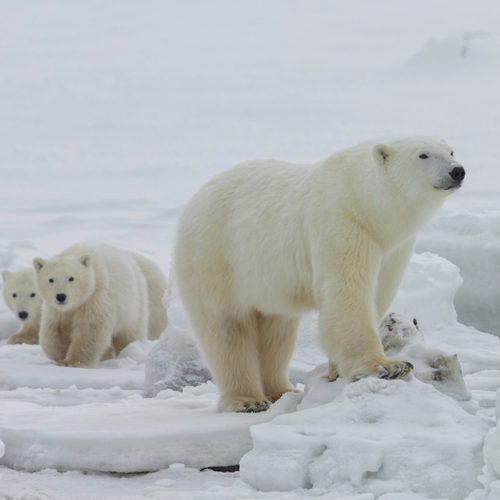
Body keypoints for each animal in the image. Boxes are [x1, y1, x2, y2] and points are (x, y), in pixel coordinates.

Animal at [34, 246, 169, 368]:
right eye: (51, 279)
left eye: (71, 278)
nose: (61, 296)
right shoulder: (55, 310)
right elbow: (54, 331)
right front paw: (60, 358)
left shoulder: (95, 298)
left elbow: (90, 330)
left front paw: (74, 362)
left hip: (134, 304)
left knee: (129, 333)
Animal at [175, 136, 464, 410]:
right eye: (423, 154)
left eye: (451, 151)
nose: (457, 171)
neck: (367, 205)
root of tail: (194, 200)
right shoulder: (343, 224)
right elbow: (349, 293)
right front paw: (389, 366)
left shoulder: (392, 248)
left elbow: (378, 294)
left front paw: (336, 370)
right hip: (216, 257)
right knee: (227, 329)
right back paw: (248, 400)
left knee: (278, 331)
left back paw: (281, 389)